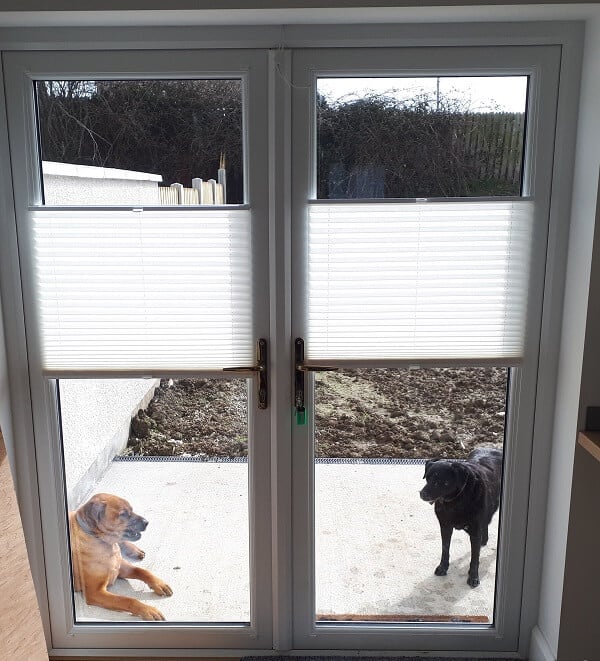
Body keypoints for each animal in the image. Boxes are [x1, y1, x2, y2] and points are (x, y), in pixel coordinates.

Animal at [71, 492, 173, 620]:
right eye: (123, 514)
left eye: (132, 510)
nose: (147, 522)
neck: (103, 542)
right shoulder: (96, 592)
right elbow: (127, 600)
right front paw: (148, 610)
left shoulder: (121, 567)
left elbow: (143, 571)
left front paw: (159, 583)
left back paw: (134, 550)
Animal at [420, 446, 504, 584]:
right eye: (427, 478)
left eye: (443, 482)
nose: (422, 494)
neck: (456, 501)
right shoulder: (445, 526)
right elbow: (445, 550)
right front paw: (443, 568)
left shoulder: (475, 531)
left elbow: (475, 558)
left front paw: (473, 577)